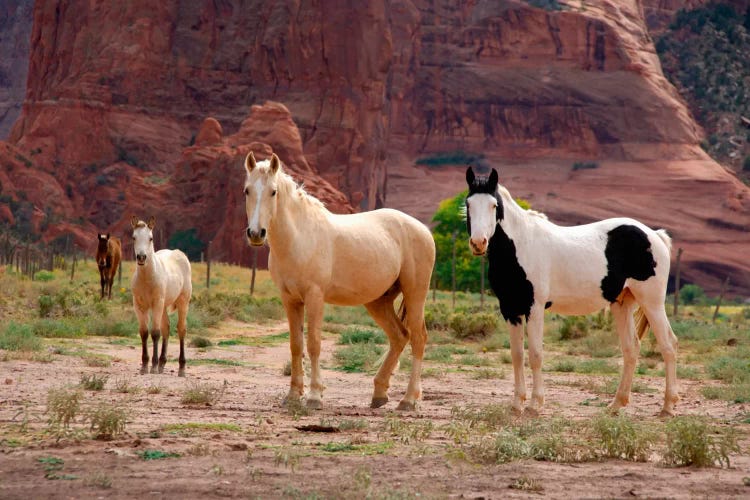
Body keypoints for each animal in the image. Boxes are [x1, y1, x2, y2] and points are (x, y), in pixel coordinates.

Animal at [131, 215, 192, 376]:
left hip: (183, 302)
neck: (147, 278)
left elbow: (155, 333)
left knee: (181, 329)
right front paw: (144, 366)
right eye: (134, 237)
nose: (141, 257)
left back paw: (181, 368)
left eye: (150, 238)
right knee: (167, 328)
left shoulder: (157, 303)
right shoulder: (139, 306)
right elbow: (144, 332)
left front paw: (152, 366)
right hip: (164, 306)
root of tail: (181, 255)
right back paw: (162, 363)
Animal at [244, 152, 438, 410]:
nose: (256, 234)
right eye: (247, 190)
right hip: (378, 302)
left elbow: (313, 343)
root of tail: (423, 229)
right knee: (399, 337)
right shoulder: (290, 299)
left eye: (273, 192)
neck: (299, 237)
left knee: (418, 338)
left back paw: (408, 400)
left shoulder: (315, 296)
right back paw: (379, 394)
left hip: (415, 293)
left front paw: (314, 396)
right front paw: (293, 395)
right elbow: (296, 345)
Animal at [464, 168, 680, 418]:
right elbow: (517, 355)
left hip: (652, 303)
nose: (478, 243)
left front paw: (535, 405)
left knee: (668, 345)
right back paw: (616, 404)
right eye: (468, 204)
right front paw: (517, 404)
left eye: (494, 205)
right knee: (631, 348)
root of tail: (654, 235)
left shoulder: (534, 308)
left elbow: (535, 354)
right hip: (622, 304)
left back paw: (667, 407)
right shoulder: (510, 309)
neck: (520, 245)